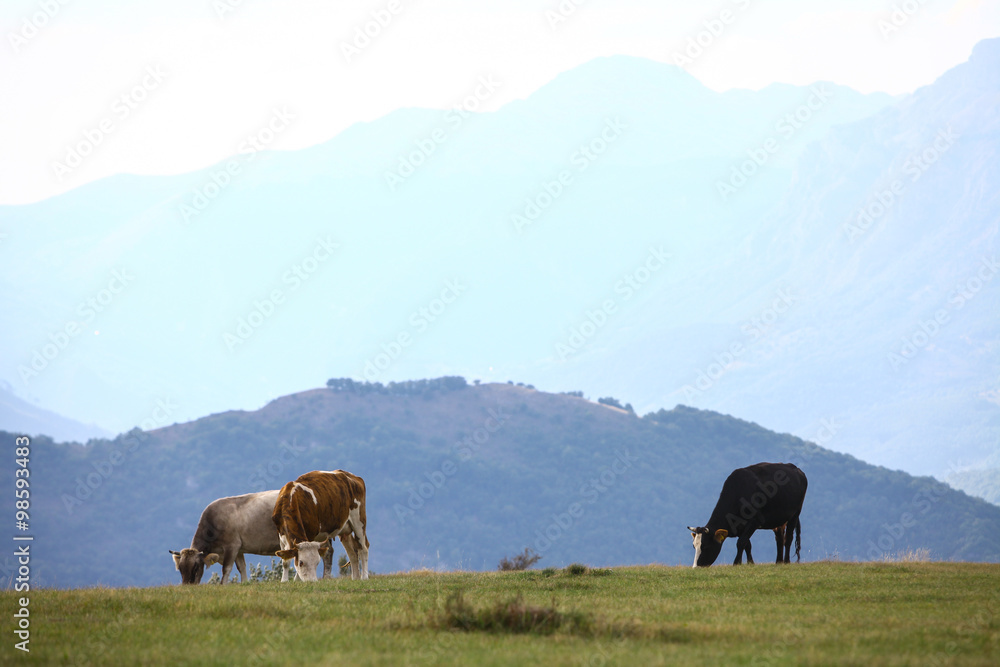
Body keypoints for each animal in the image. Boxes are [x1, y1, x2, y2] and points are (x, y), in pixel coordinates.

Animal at [169, 489, 333, 584]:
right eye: (180, 568)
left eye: (196, 567)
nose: (187, 586)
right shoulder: (239, 549)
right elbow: (241, 567)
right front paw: (245, 583)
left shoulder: (231, 545)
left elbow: (226, 568)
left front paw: (223, 585)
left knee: (327, 553)